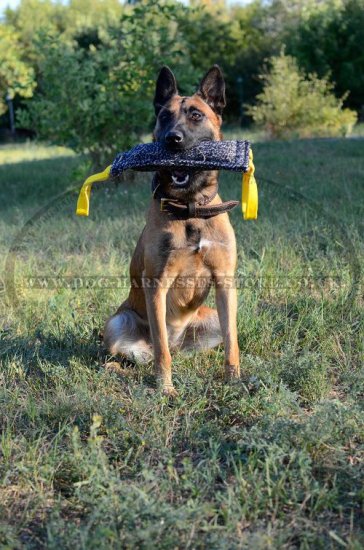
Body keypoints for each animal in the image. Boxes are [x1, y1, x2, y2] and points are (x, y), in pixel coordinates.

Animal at [104, 66, 239, 396]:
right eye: (164, 116)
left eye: (196, 115)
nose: (172, 139)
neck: (189, 208)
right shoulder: (157, 284)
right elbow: (161, 351)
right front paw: (165, 389)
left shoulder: (225, 283)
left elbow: (233, 343)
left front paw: (234, 381)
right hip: (117, 322)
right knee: (143, 355)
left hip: (211, 317)